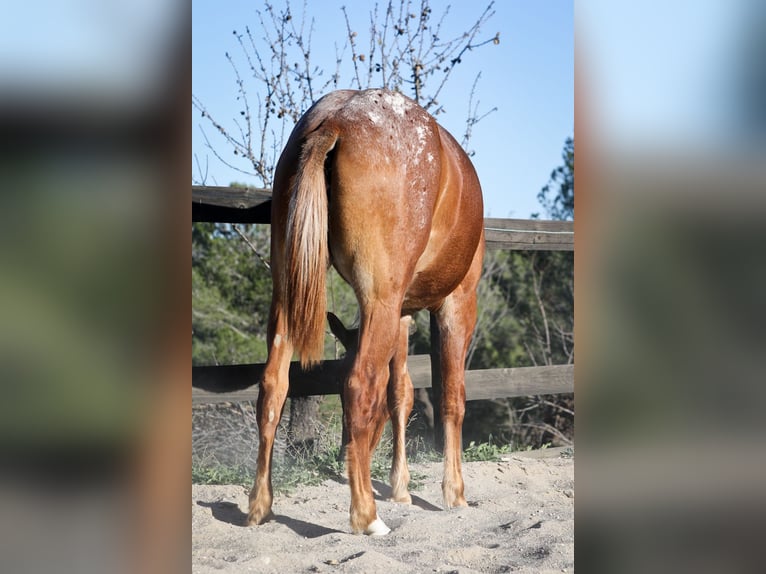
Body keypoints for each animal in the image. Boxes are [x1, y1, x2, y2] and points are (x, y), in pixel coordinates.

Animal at [246, 88, 486, 536]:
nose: (347, 453)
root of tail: (336, 121)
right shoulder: (456, 304)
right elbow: (451, 397)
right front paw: (455, 493)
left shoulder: (403, 315)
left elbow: (400, 393)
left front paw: (401, 487)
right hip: (379, 299)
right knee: (360, 385)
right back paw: (366, 516)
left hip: (288, 291)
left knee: (273, 387)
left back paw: (259, 506)